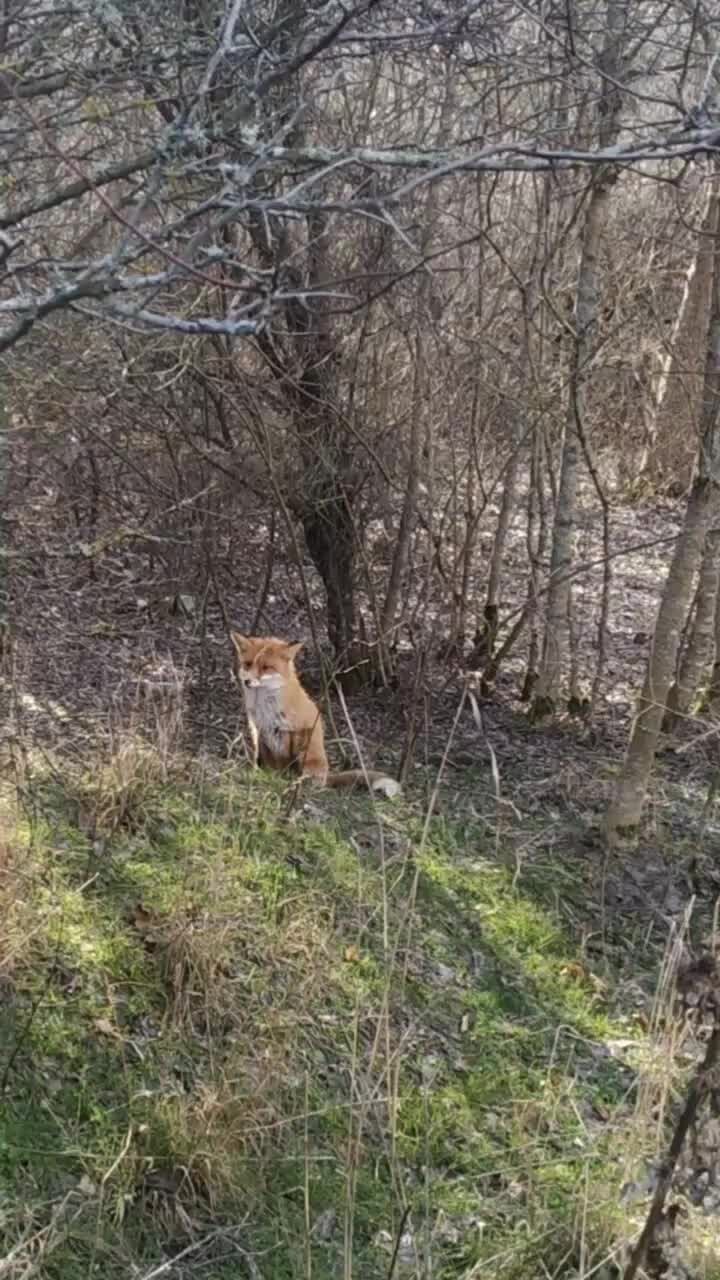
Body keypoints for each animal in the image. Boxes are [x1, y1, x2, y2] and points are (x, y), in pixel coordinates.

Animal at [229, 634, 397, 793]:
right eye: (248, 664)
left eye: (266, 667)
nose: (247, 682)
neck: (265, 706)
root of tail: (327, 775)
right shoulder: (256, 728)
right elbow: (258, 757)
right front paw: (258, 772)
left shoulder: (295, 729)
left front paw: (285, 781)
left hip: (312, 757)